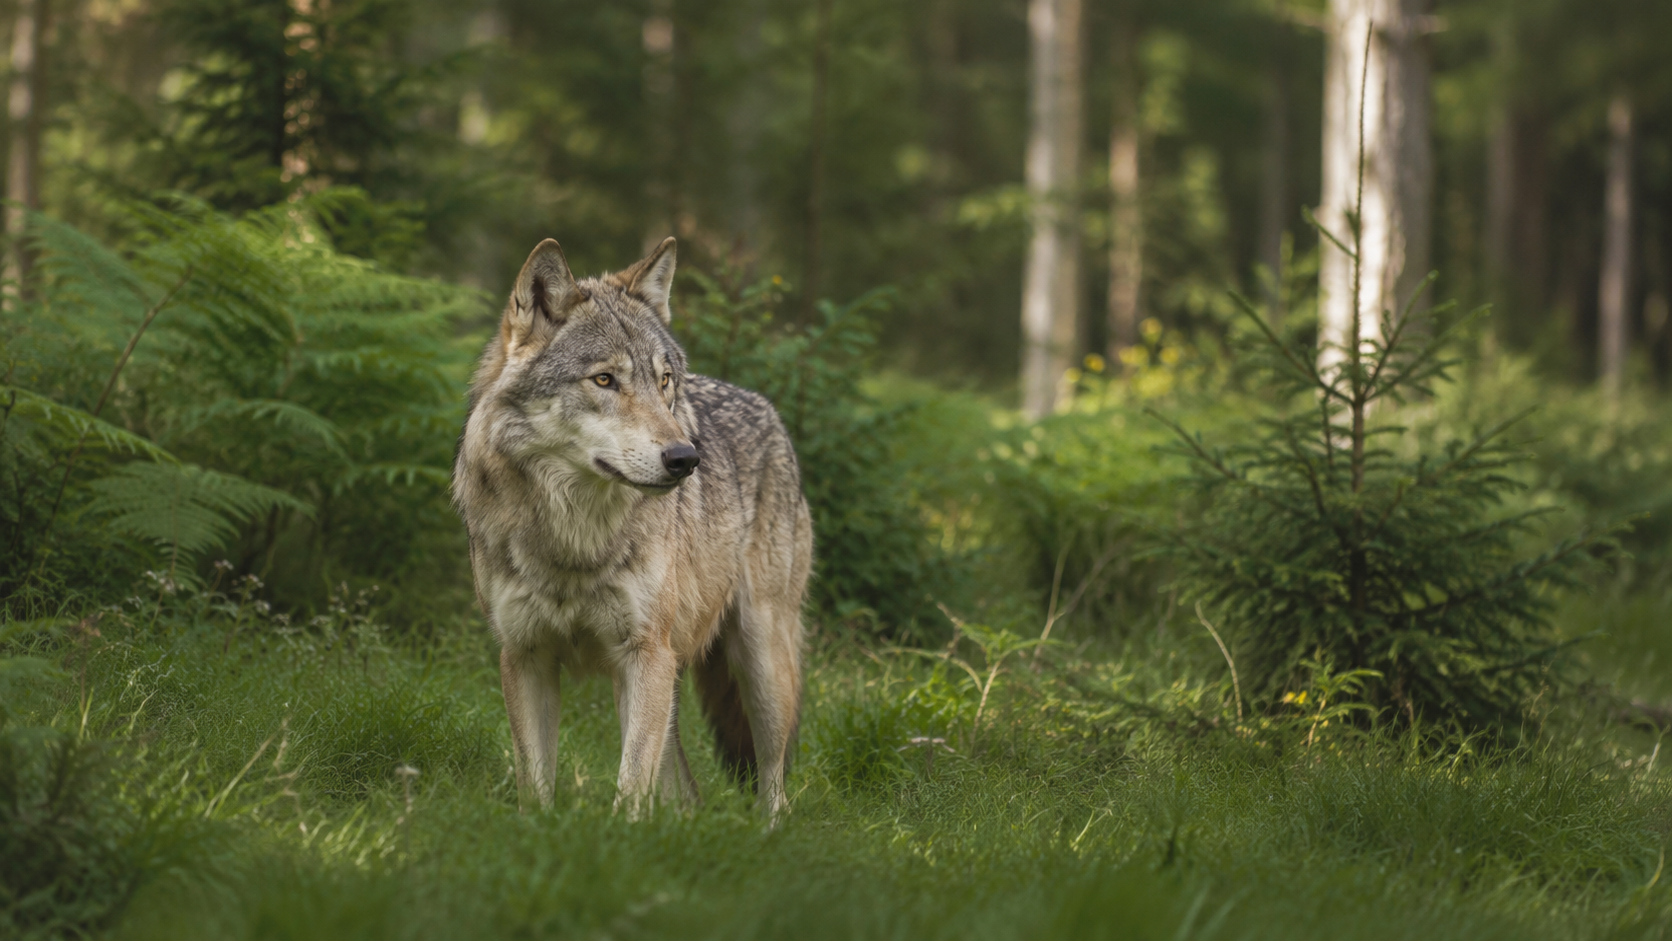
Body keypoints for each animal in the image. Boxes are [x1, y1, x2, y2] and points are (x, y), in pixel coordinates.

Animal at [452, 236, 811, 818]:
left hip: (760, 663)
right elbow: (535, 785)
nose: (686, 458)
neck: (576, 539)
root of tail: (767, 408)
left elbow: (629, 784)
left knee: (773, 784)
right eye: (605, 379)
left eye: (663, 381)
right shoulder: (525, 656)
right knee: (686, 790)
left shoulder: (644, 654)